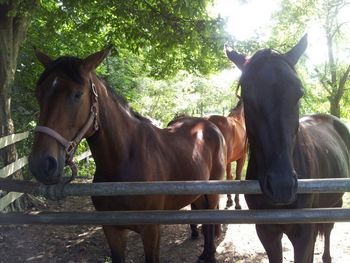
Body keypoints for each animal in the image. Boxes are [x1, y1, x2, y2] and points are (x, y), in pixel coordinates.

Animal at [29, 46, 227, 262]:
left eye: (77, 94)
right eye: (39, 94)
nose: (42, 164)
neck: (125, 160)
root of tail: (209, 125)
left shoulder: (151, 231)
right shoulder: (112, 229)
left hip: (212, 192)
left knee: (210, 222)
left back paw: (209, 254)